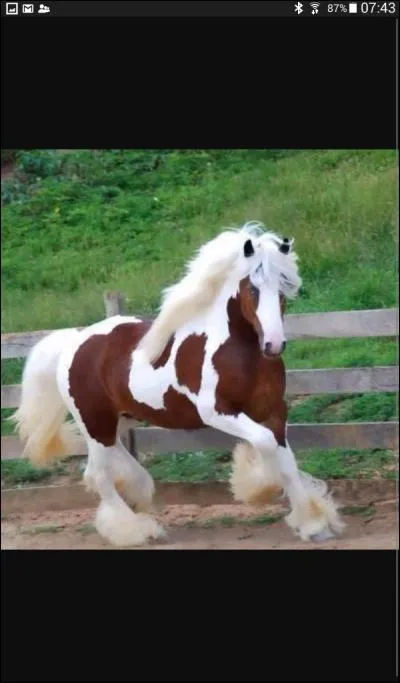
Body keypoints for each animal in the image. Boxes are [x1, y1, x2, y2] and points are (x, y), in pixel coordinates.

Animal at [11, 221, 344, 547]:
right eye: (253, 287)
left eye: (284, 286)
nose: (274, 345)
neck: (238, 352)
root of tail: (74, 341)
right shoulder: (217, 412)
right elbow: (264, 444)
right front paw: (257, 485)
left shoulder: (273, 411)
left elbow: (285, 460)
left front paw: (314, 525)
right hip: (95, 423)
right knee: (98, 476)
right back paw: (137, 531)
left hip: (119, 420)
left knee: (109, 465)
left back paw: (138, 493)